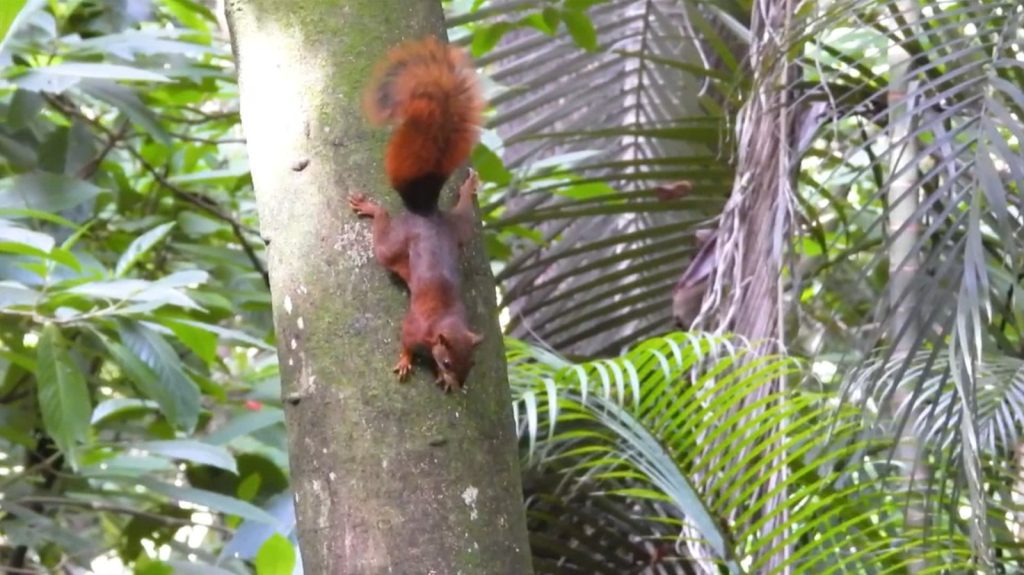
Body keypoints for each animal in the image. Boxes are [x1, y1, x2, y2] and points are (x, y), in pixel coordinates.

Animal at [348, 35, 483, 390]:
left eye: (473, 363)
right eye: (448, 360)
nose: (459, 383)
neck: (445, 322)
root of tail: (426, 213)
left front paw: (442, 380)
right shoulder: (413, 326)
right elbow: (406, 342)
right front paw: (407, 361)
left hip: (459, 229)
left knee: (464, 214)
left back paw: (468, 188)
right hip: (394, 245)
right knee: (383, 233)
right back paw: (371, 208)